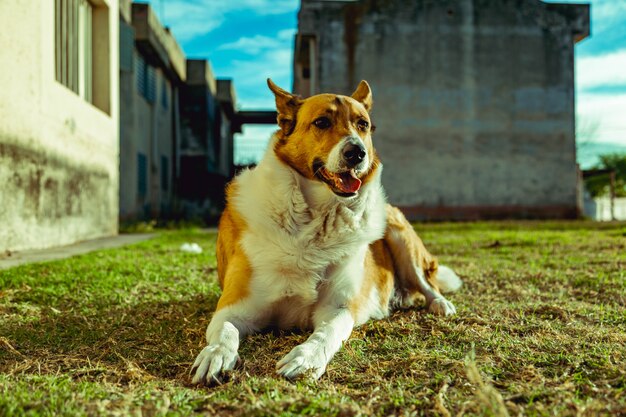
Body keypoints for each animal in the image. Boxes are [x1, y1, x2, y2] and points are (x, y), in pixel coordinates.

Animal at [189, 79, 458, 384]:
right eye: (321, 122)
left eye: (363, 124)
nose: (357, 153)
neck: (315, 219)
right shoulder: (234, 306)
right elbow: (226, 331)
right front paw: (215, 354)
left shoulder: (338, 308)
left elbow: (326, 335)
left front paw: (305, 359)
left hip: (399, 234)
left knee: (428, 283)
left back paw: (441, 304)